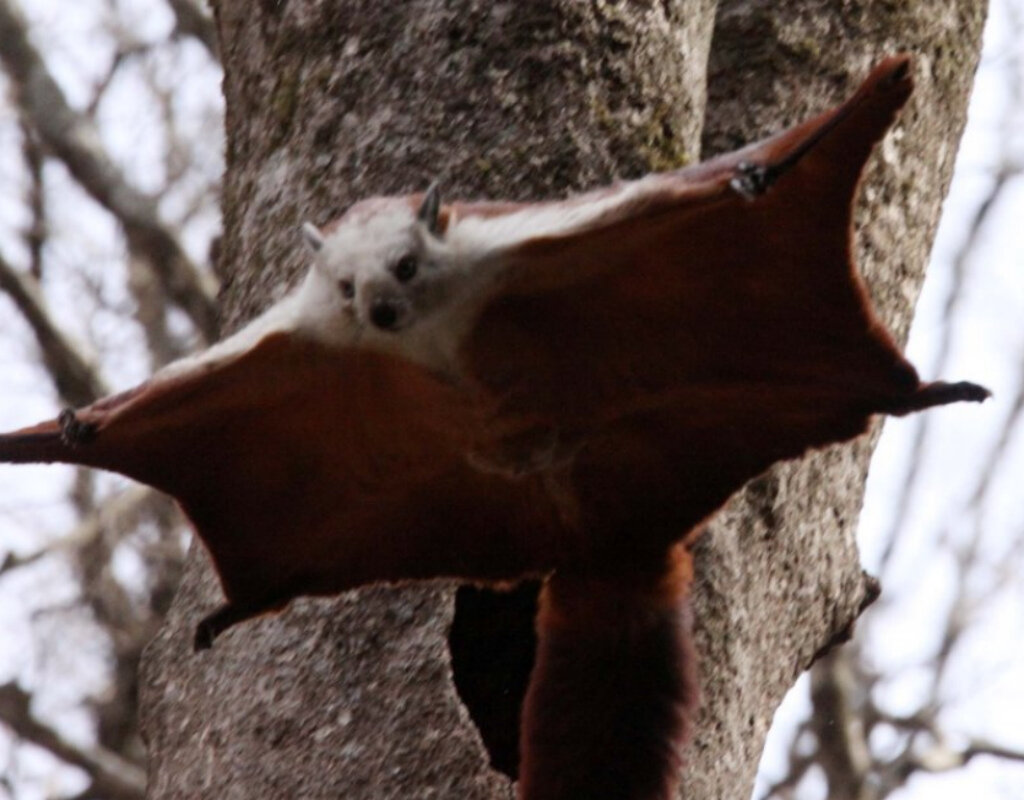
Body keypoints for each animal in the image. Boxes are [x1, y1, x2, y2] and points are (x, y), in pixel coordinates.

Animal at [0, 57, 991, 798]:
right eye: (349, 290)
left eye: (406, 264)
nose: (382, 312)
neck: (435, 336)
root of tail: (606, 537)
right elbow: (104, 425)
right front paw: (56, 432)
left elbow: (753, 180)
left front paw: (846, 111)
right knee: (269, 580)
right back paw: (232, 606)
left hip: (792, 381)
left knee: (876, 388)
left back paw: (931, 389)